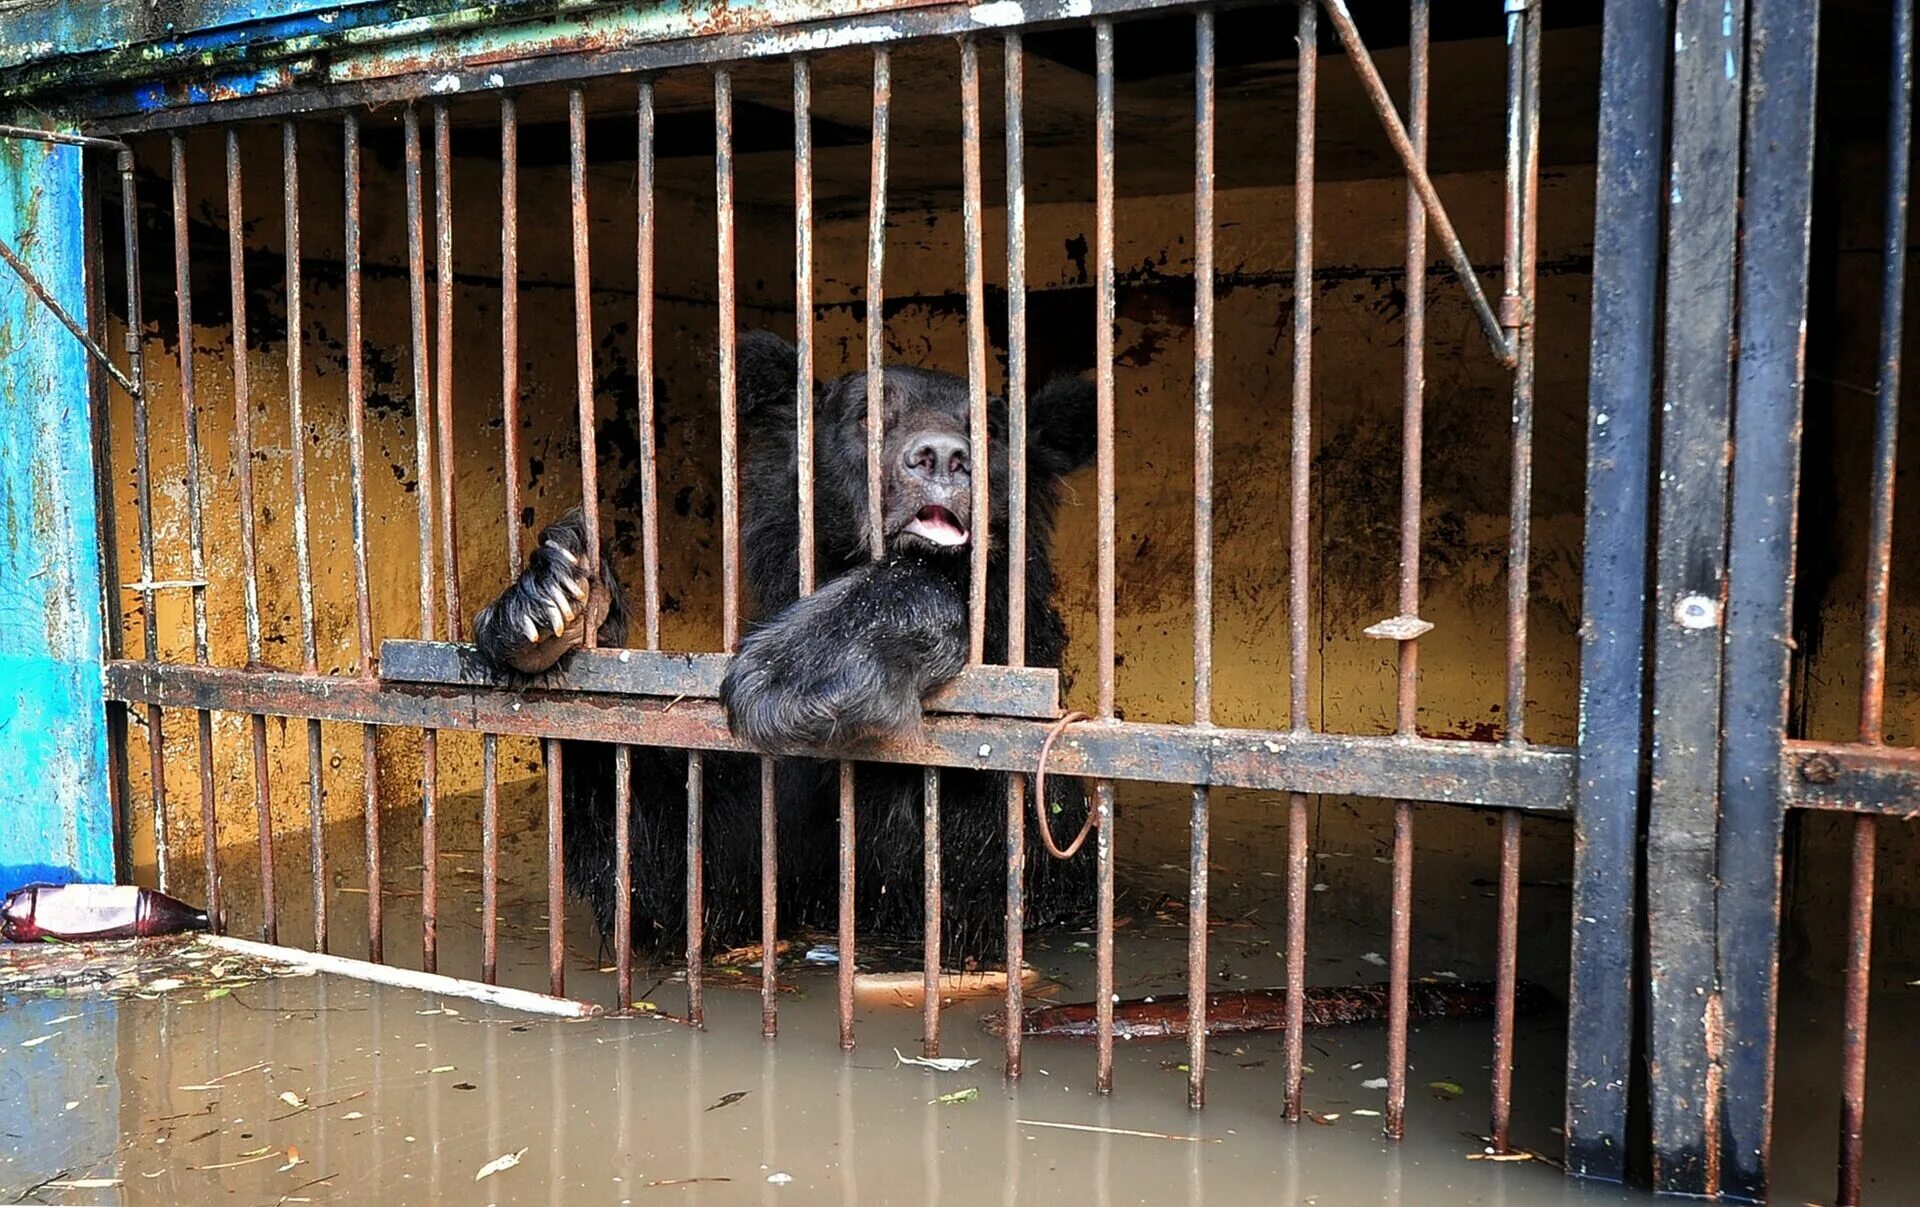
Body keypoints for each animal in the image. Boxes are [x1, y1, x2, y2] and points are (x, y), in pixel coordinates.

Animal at [476, 331, 1098, 970]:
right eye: (867, 414)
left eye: (993, 429)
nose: (943, 456)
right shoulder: (774, 793)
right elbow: (680, 879)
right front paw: (555, 600)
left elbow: (993, 853)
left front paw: (797, 673)